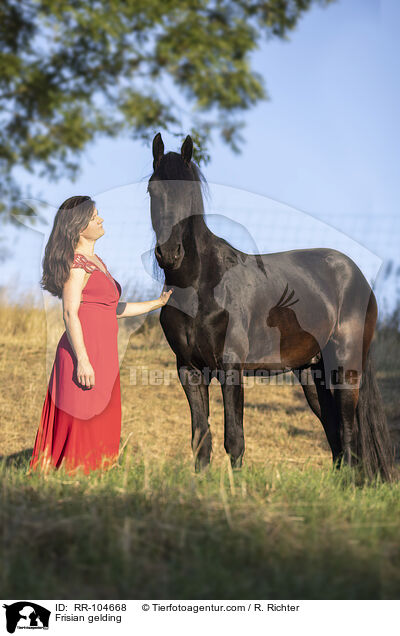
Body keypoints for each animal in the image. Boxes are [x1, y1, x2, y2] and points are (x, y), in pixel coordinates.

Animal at [148, 134, 394, 482]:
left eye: (187, 192)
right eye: (153, 191)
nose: (169, 254)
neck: (201, 285)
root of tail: (357, 276)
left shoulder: (230, 368)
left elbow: (234, 438)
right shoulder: (189, 370)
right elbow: (201, 438)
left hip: (345, 367)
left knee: (349, 432)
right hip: (311, 373)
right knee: (333, 431)